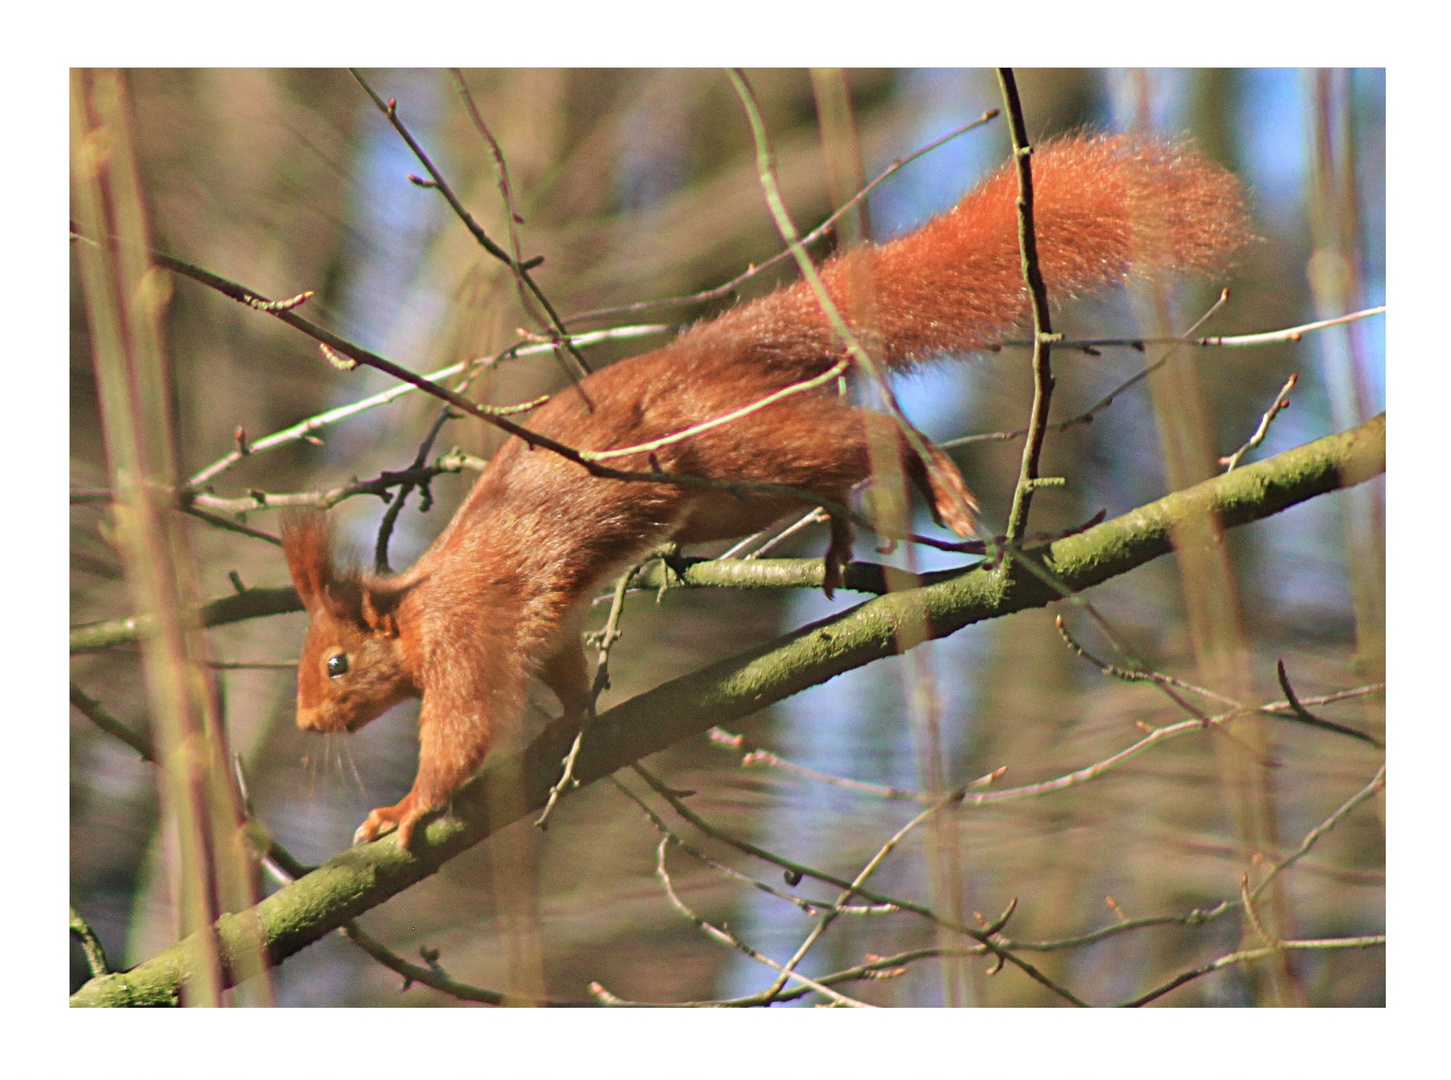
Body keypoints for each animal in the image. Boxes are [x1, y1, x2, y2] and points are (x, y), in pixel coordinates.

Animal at [280, 135, 1247, 847]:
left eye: (335, 664)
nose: (308, 726)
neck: (413, 608)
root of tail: (710, 350)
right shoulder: (537, 625)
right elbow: (559, 666)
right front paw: (574, 720)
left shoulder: (464, 637)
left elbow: (463, 732)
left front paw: (405, 809)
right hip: (730, 497)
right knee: (828, 468)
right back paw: (839, 534)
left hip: (728, 445)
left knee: (862, 435)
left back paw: (928, 474)